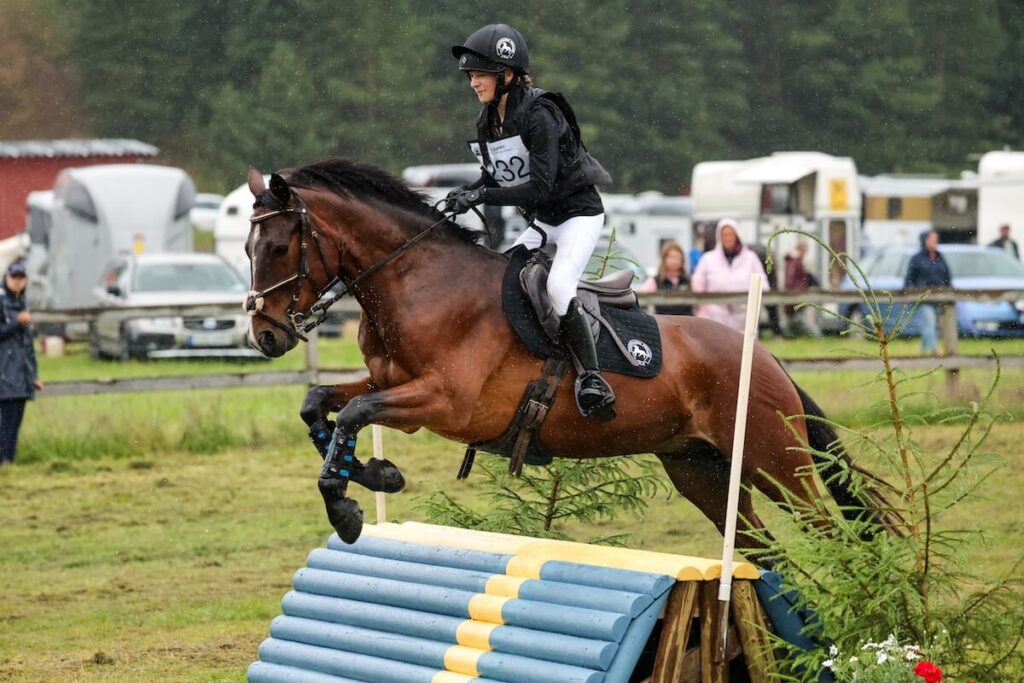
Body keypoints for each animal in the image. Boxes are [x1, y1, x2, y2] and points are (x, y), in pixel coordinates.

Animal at [242, 159, 887, 559]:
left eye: (278, 247)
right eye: (248, 247)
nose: (265, 335)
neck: (416, 281)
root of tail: (768, 357)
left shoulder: (444, 402)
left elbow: (352, 416)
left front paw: (349, 504)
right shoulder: (389, 383)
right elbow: (319, 405)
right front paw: (374, 474)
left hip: (776, 464)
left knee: (831, 532)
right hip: (699, 469)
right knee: (762, 550)